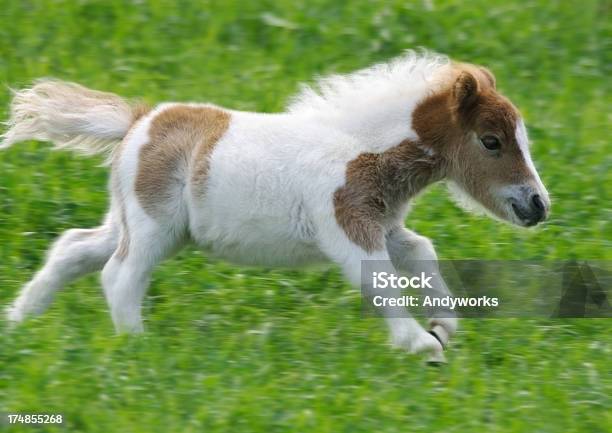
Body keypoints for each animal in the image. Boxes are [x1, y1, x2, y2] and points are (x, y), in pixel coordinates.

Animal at [1, 49, 548, 362]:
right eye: (492, 141)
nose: (538, 205)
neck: (359, 147)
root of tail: (137, 121)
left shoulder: (384, 224)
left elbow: (421, 251)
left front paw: (444, 327)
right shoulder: (347, 226)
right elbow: (379, 281)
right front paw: (418, 343)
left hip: (136, 220)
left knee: (74, 247)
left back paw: (19, 321)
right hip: (154, 226)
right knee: (120, 274)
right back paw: (138, 348)